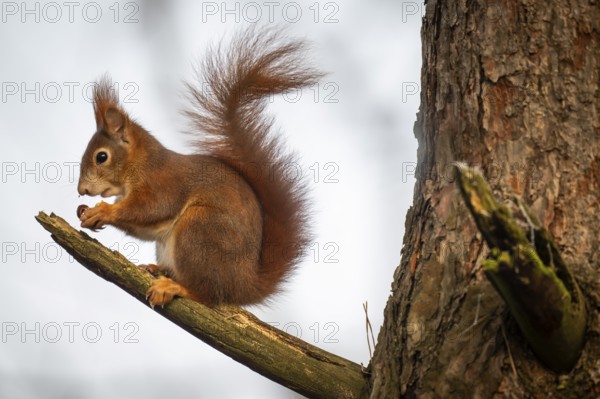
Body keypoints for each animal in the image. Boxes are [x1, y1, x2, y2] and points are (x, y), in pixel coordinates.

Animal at [78, 27, 324, 310]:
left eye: (101, 157)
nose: (81, 190)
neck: (138, 166)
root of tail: (244, 285)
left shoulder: (164, 182)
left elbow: (152, 208)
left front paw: (104, 211)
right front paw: (88, 212)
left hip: (200, 229)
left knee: (209, 295)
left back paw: (175, 287)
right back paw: (158, 269)